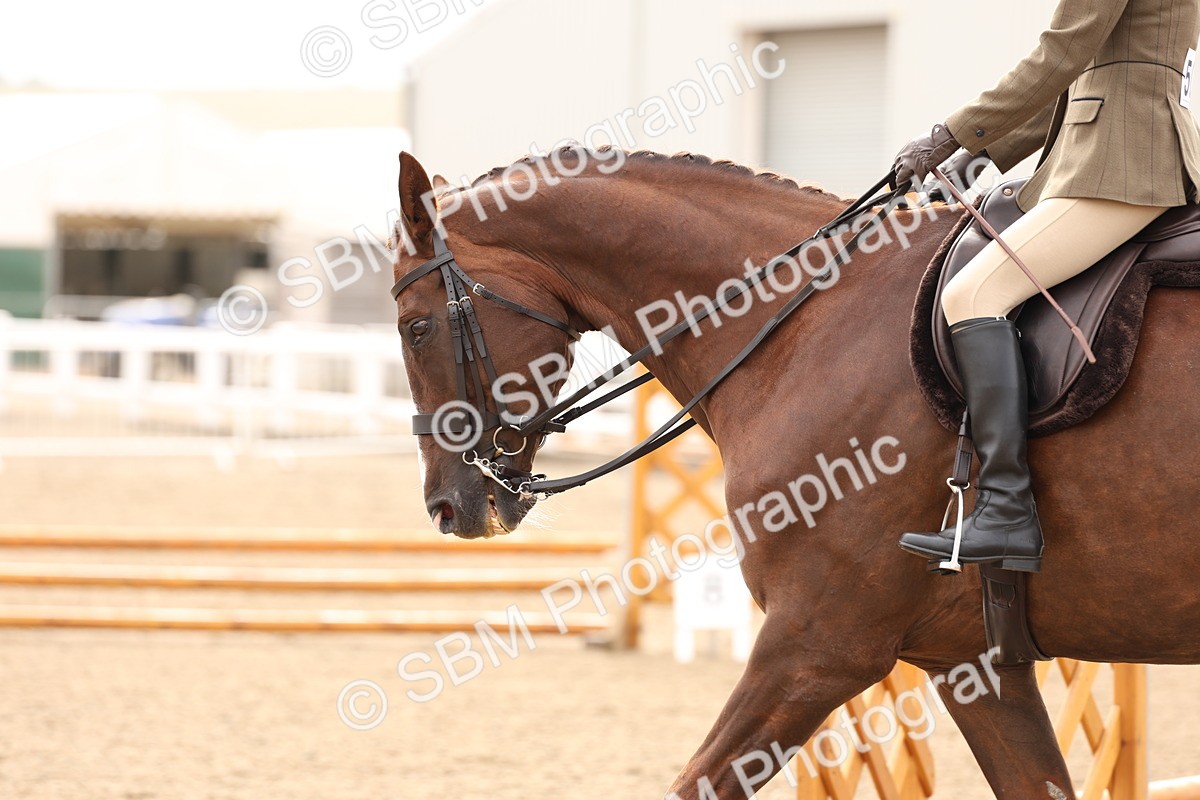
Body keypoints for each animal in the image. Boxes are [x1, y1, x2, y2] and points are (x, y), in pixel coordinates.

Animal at [389, 147, 1200, 798]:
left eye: (415, 327)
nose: (446, 507)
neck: (806, 325)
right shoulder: (972, 663)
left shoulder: (816, 646)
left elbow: (695, 783)